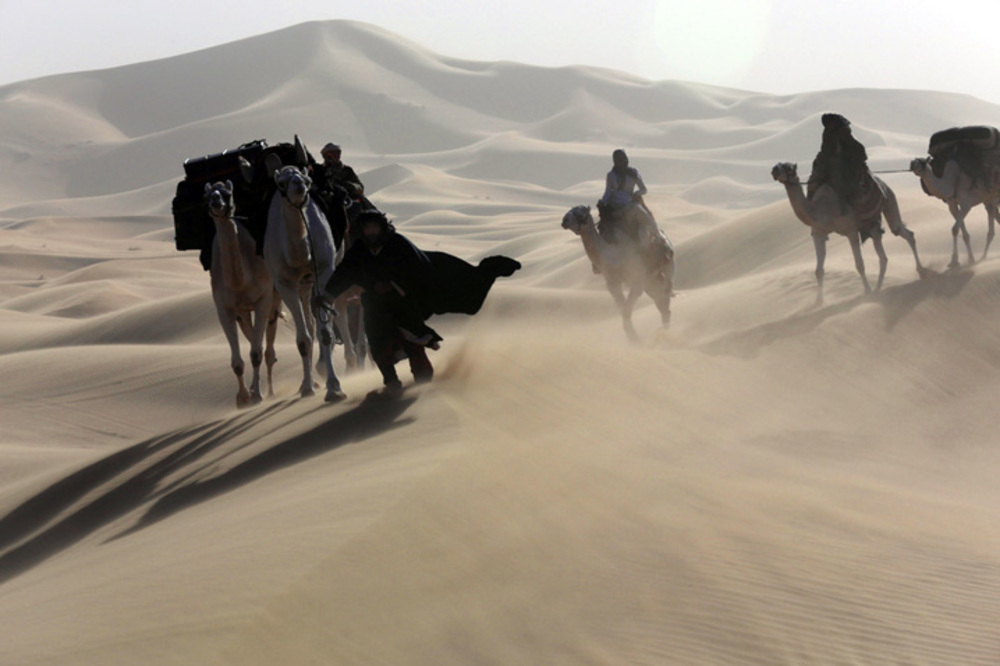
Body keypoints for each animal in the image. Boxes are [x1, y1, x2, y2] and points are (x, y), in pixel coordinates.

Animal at [204, 180, 280, 404]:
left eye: (228, 193)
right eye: (207, 196)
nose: (216, 201)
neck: (239, 282)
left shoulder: (264, 298)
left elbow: (256, 354)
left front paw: (258, 396)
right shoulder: (225, 308)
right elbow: (237, 362)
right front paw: (244, 397)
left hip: (275, 298)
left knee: (268, 345)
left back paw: (272, 391)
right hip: (243, 312)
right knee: (255, 337)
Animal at [264, 163, 346, 402]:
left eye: (307, 181)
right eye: (281, 183)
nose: (299, 185)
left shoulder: (325, 270)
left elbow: (325, 334)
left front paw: (334, 388)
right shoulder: (284, 283)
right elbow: (303, 340)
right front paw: (308, 388)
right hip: (297, 285)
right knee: (307, 325)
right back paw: (305, 383)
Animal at [560, 204, 676, 342]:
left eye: (580, 213)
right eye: (570, 211)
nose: (564, 221)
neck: (613, 255)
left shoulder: (637, 280)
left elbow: (627, 309)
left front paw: (634, 338)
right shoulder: (612, 282)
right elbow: (623, 308)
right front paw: (633, 338)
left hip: (666, 270)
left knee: (665, 294)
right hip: (651, 282)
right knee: (662, 302)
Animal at [772, 163, 920, 304]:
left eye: (789, 168)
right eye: (779, 164)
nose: (774, 170)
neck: (823, 209)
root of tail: (882, 182)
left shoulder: (851, 230)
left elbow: (860, 264)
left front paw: (867, 291)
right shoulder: (818, 233)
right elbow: (819, 270)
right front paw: (818, 301)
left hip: (889, 198)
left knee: (900, 231)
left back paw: (920, 270)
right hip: (874, 223)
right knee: (884, 251)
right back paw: (878, 288)